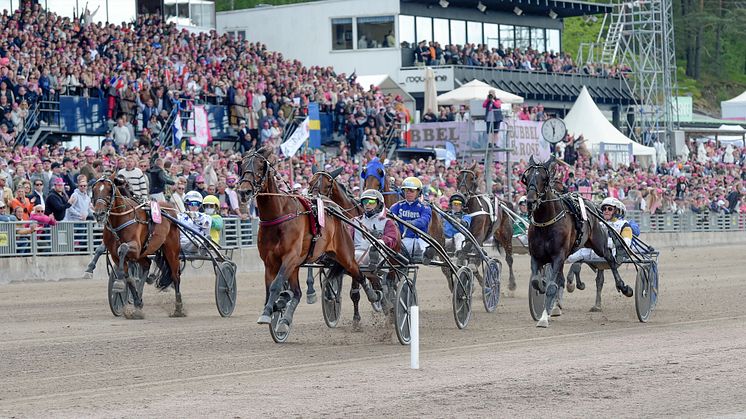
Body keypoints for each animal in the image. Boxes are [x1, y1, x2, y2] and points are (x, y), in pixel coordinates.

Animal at [91, 175, 183, 318]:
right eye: (94, 190)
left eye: (109, 190)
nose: (99, 214)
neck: (120, 219)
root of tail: (171, 208)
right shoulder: (116, 254)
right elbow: (128, 278)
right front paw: (136, 303)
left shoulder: (135, 248)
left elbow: (123, 248)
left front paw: (118, 283)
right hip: (143, 254)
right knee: (147, 264)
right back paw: (139, 299)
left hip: (171, 249)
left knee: (175, 275)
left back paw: (178, 308)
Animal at [238, 148, 380, 332]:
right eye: (241, 164)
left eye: (261, 165)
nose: (244, 192)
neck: (279, 215)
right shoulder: (270, 262)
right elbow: (272, 289)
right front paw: (275, 307)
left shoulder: (290, 257)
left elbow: (276, 285)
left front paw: (270, 310)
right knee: (298, 292)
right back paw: (286, 317)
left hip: (345, 254)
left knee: (359, 273)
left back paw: (374, 295)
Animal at [456, 164, 516, 292]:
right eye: (458, 178)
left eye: (472, 178)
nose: (462, 195)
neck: (471, 209)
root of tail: (504, 202)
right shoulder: (468, 236)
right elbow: (469, 255)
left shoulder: (478, 235)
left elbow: (471, 256)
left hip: (505, 234)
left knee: (509, 258)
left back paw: (512, 284)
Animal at [520, 156, 632, 330]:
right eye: (527, 178)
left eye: (544, 179)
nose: (531, 201)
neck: (546, 223)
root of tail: (592, 204)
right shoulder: (537, 257)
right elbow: (536, 282)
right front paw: (545, 293)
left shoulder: (558, 256)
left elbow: (552, 287)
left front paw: (543, 318)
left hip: (598, 243)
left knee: (610, 259)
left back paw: (623, 286)